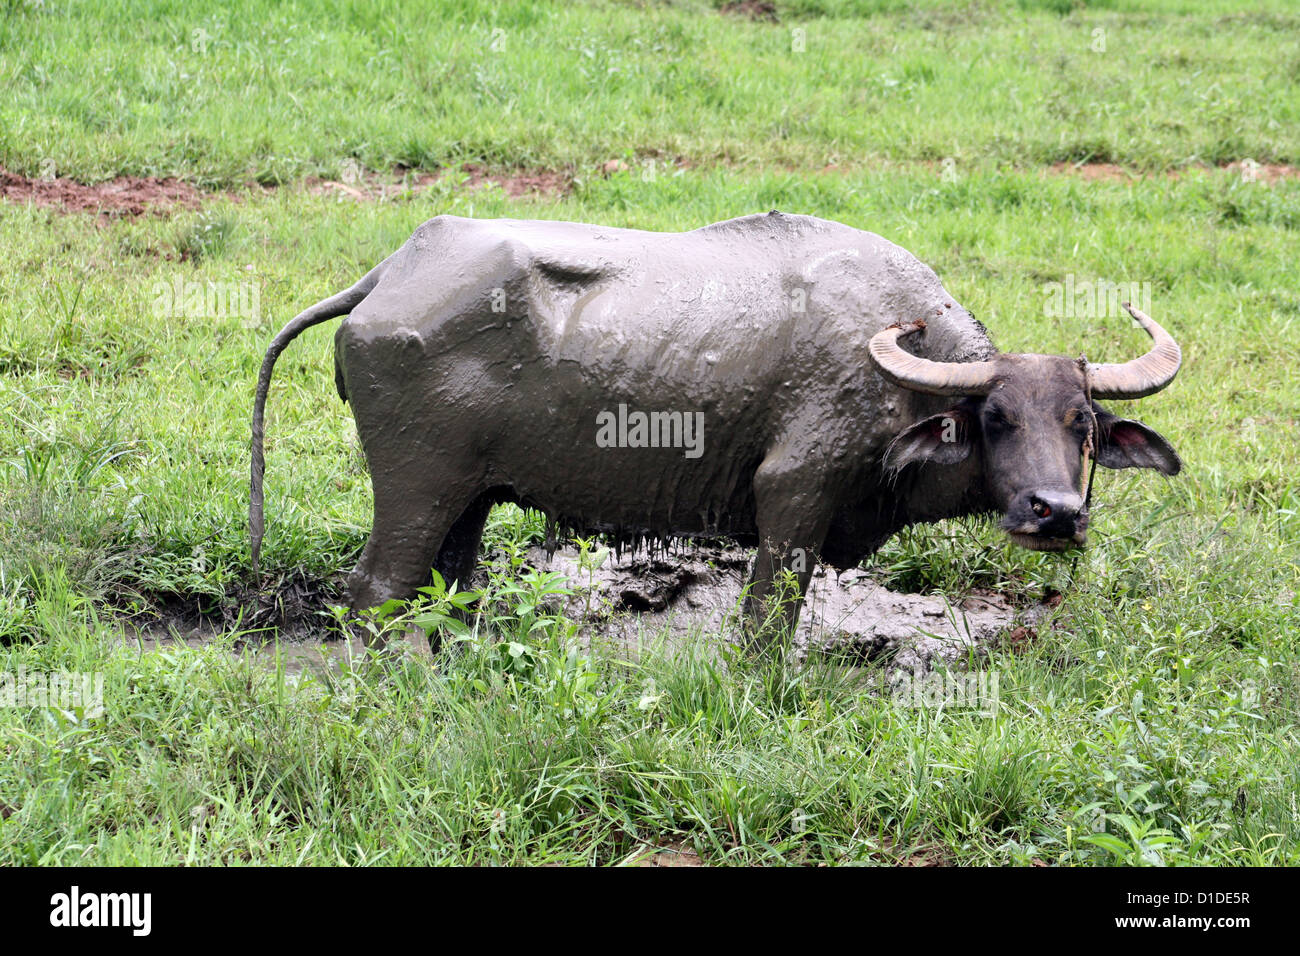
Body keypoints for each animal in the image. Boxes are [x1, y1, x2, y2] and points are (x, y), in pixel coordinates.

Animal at [248, 209, 1185, 642]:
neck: (902, 380)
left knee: (447, 587)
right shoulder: (795, 496)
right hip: (417, 487)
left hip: (468, 498)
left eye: (1083, 424)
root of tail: (388, 275)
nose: (1055, 513)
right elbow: (765, 627)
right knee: (375, 593)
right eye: (992, 417)